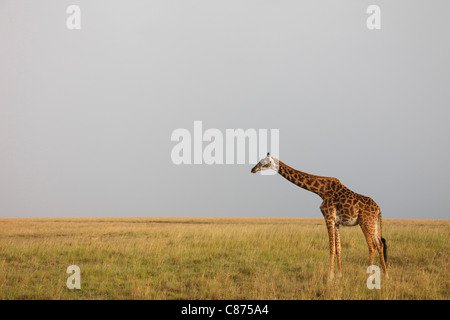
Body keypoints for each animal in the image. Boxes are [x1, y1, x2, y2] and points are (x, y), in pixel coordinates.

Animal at [251, 152, 388, 278]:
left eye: (263, 162)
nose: (253, 169)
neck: (321, 190)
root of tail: (378, 209)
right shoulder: (336, 221)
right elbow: (338, 248)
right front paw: (339, 275)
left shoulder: (328, 217)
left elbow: (331, 247)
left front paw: (330, 276)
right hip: (374, 224)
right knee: (380, 245)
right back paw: (386, 275)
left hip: (365, 222)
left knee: (372, 246)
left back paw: (369, 275)